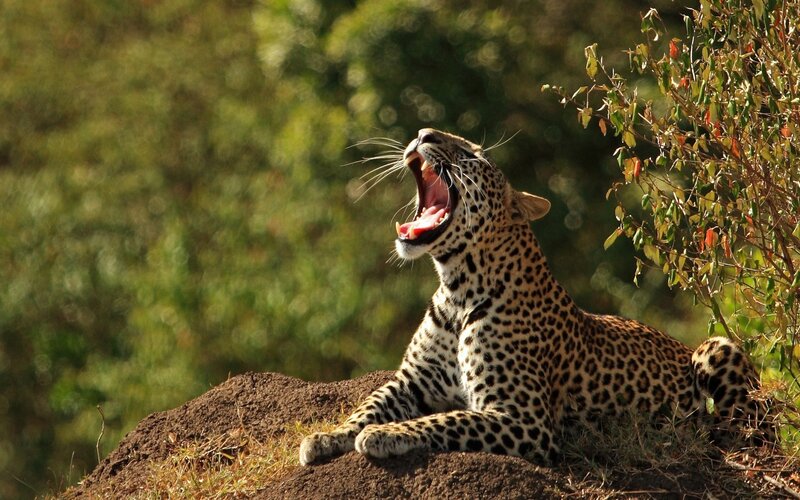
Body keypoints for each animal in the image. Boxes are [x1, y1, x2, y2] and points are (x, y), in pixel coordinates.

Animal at [299, 128, 775, 466]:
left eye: (473, 155)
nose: (423, 133)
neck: (457, 288)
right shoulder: (411, 380)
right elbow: (367, 404)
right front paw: (325, 436)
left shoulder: (521, 418)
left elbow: (443, 418)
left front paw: (387, 435)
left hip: (718, 349)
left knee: (747, 424)